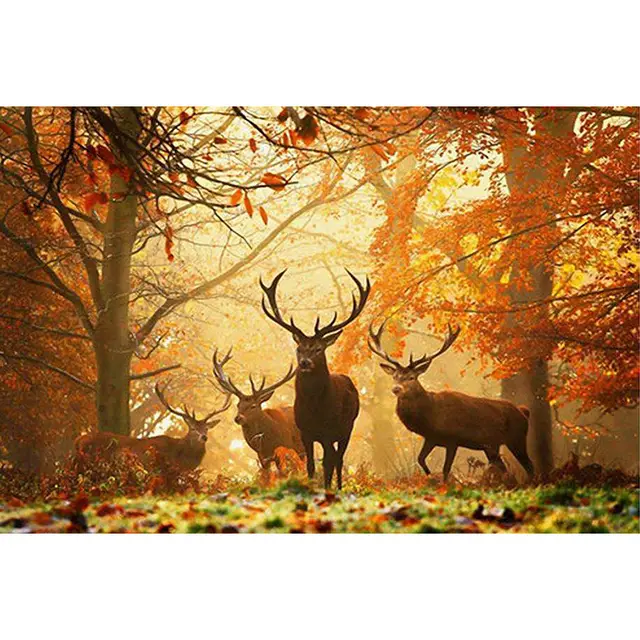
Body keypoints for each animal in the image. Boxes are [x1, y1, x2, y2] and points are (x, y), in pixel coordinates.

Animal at [260, 268, 371, 490]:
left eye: (319, 349)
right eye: (299, 348)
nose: (304, 362)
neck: (315, 409)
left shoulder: (329, 431)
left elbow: (329, 462)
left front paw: (328, 489)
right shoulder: (305, 432)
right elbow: (311, 465)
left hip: (347, 427)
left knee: (338, 459)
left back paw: (338, 487)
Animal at [368, 321, 534, 482]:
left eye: (411, 377)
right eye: (394, 376)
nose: (396, 389)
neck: (431, 417)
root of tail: (524, 411)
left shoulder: (453, 439)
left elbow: (446, 469)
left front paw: (445, 484)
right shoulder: (431, 438)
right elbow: (420, 459)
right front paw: (430, 477)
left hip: (517, 437)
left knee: (529, 465)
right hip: (492, 446)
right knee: (503, 467)